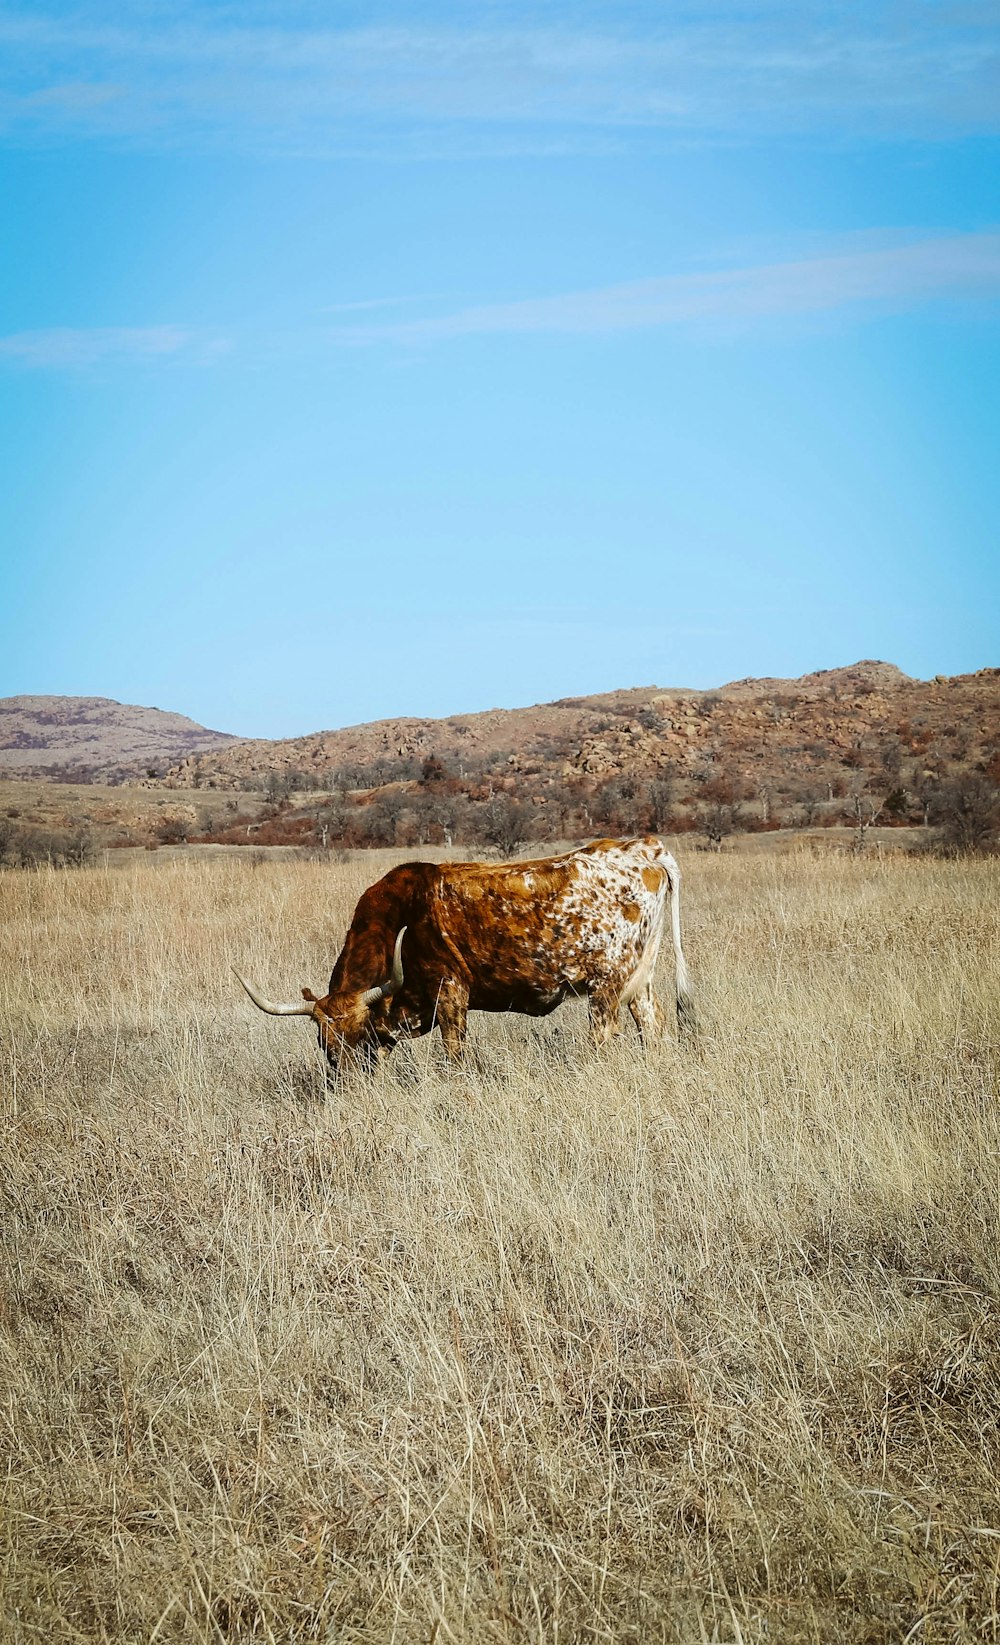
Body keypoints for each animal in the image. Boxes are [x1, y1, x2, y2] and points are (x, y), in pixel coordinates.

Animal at [235, 835, 690, 1065]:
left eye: (358, 1037)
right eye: (325, 1046)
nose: (347, 1084)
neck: (402, 916)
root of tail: (643, 848)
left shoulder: (451, 994)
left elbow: (453, 1054)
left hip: (606, 987)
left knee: (603, 1035)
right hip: (639, 981)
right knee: (652, 1025)